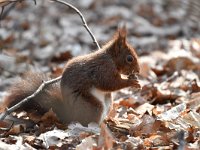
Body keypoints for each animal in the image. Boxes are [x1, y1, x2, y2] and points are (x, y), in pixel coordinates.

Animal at [1, 27, 140, 125]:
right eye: (129, 58)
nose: (138, 71)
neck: (111, 58)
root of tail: (69, 115)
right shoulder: (102, 69)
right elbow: (109, 83)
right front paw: (131, 82)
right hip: (90, 106)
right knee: (90, 120)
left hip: (107, 101)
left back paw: (112, 121)